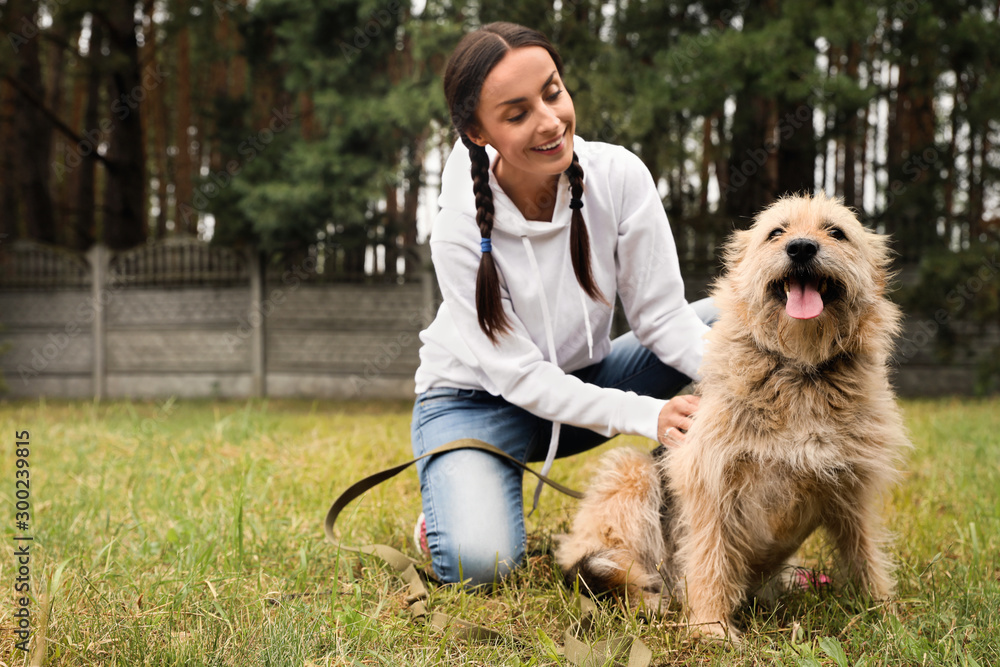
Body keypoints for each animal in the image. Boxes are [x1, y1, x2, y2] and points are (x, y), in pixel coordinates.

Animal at [560, 193, 912, 640]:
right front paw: (712, 627)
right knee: (606, 567)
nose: (801, 248)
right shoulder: (709, 481)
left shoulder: (853, 489)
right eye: (776, 232)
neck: (799, 373)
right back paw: (647, 600)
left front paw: (883, 611)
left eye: (836, 231)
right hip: (631, 474)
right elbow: (710, 558)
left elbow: (864, 551)